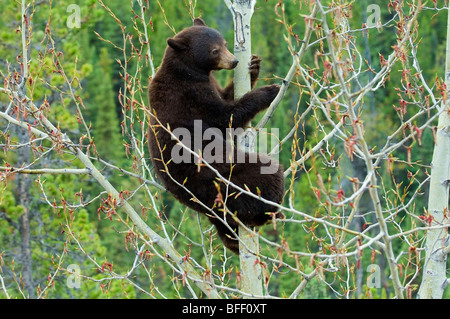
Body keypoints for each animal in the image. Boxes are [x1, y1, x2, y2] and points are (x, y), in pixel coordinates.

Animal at [149, 18, 284, 255]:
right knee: (268, 175)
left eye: (225, 43)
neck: (187, 71)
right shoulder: (191, 96)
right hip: (227, 179)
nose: (234, 61)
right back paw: (271, 209)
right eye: (214, 50)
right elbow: (225, 117)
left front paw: (254, 66)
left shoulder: (208, 85)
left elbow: (226, 97)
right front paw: (269, 91)